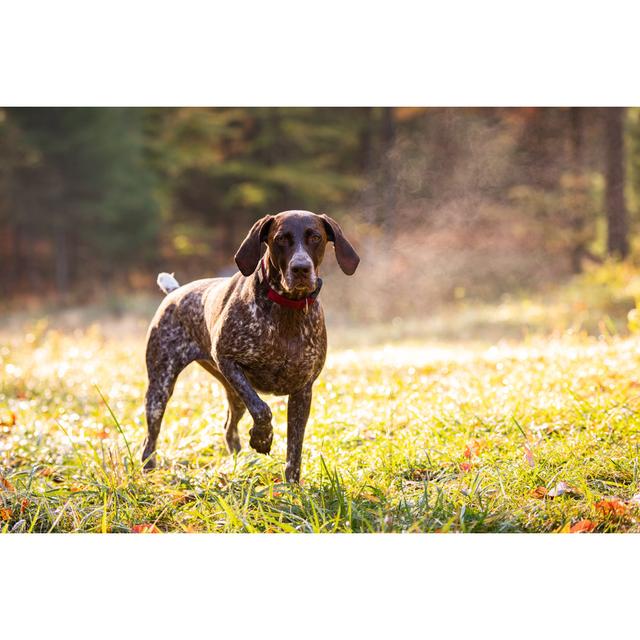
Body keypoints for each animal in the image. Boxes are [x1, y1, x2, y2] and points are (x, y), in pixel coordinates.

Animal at [141, 209, 360, 480]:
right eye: (281, 238)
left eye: (316, 237)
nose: (301, 268)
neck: (287, 309)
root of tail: (174, 292)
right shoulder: (228, 360)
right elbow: (262, 409)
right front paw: (262, 439)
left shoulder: (303, 390)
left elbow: (294, 449)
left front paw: (292, 485)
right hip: (161, 387)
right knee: (151, 436)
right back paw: (148, 469)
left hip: (233, 395)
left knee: (228, 428)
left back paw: (240, 462)